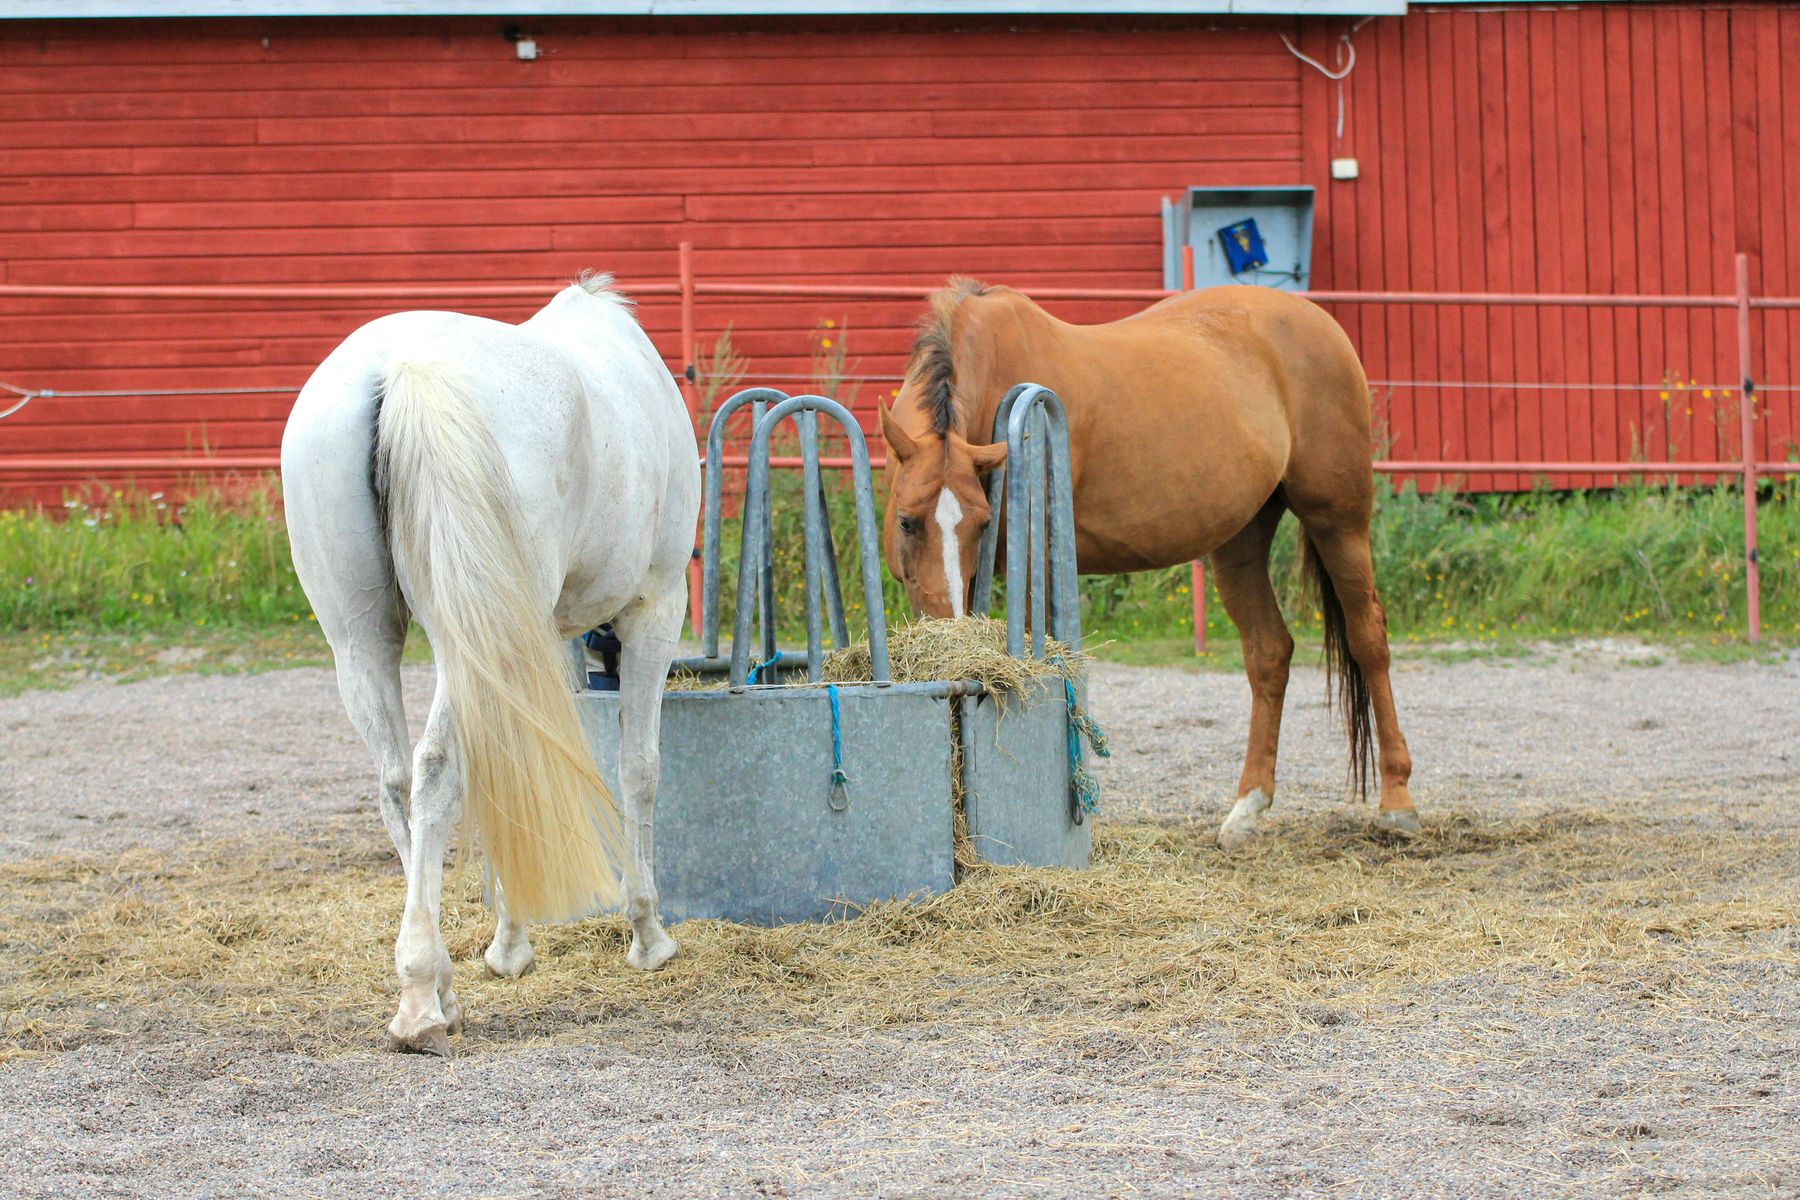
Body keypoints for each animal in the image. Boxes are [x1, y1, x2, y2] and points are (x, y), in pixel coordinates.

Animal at [281, 275, 699, 1055]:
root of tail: (406, 368)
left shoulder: (537, 634)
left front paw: (509, 944)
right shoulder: (655, 608)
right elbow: (639, 768)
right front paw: (647, 931)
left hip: (361, 639)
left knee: (397, 782)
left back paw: (438, 980)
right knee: (438, 768)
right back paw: (421, 995)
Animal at [877, 279, 1416, 848]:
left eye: (981, 524)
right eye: (907, 522)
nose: (945, 631)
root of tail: (1320, 322)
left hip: (1339, 521)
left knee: (1368, 639)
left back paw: (1397, 803)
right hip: (1241, 539)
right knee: (1269, 653)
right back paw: (1246, 809)